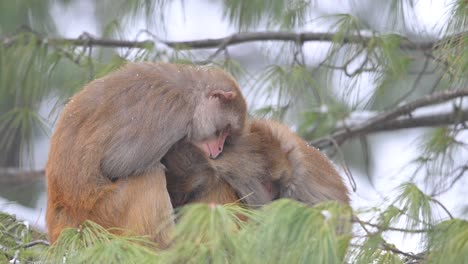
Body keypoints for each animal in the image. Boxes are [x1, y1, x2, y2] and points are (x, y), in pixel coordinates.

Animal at [44, 62, 249, 245]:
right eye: (224, 130)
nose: (220, 148)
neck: (191, 93)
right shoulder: (171, 114)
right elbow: (116, 163)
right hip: (104, 214)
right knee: (150, 174)